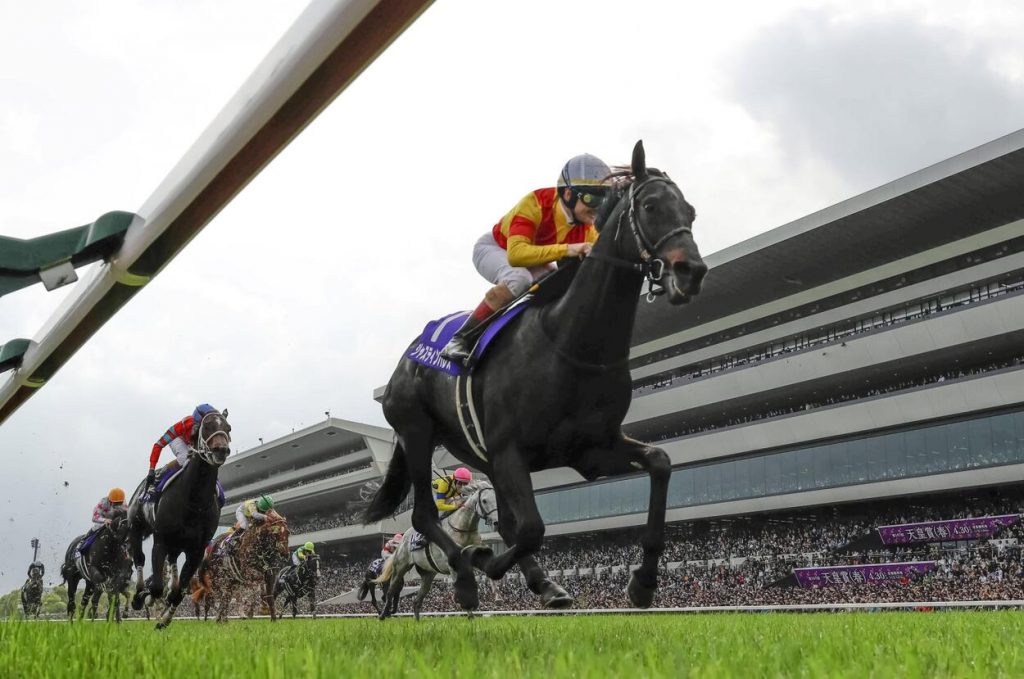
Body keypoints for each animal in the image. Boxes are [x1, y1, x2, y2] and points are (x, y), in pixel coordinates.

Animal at [126, 405, 231, 630]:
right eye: (206, 427)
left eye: (228, 428)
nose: (220, 450)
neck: (194, 501)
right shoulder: (161, 540)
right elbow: (156, 586)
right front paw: (147, 596)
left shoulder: (197, 551)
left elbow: (178, 592)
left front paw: (165, 619)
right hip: (136, 529)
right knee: (139, 558)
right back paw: (139, 594)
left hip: (177, 545)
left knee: (173, 568)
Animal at [378, 481, 501, 618]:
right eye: (484, 501)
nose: (496, 523)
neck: (463, 530)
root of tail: (403, 537)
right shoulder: (454, 566)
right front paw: (470, 614)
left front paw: (498, 597)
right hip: (400, 567)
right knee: (390, 591)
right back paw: (383, 614)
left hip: (428, 574)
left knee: (417, 601)